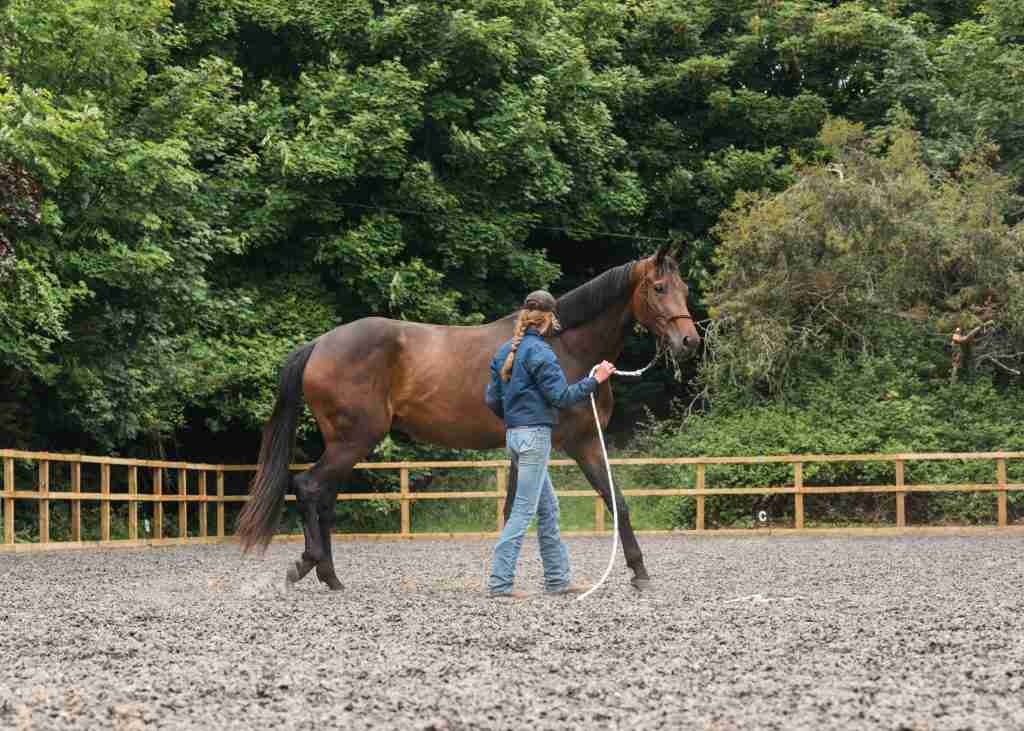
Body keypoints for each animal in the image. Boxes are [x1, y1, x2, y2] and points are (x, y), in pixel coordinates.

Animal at [237, 244, 702, 590]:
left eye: (684, 287)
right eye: (659, 287)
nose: (689, 341)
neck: (565, 345)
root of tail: (319, 344)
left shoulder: (569, 444)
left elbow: (609, 502)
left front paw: (639, 572)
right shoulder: (574, 443)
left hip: (344, 444)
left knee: (325, 499)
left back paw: (330, 576)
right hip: (353, 441)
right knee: (309, 488)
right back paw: (308, 565)